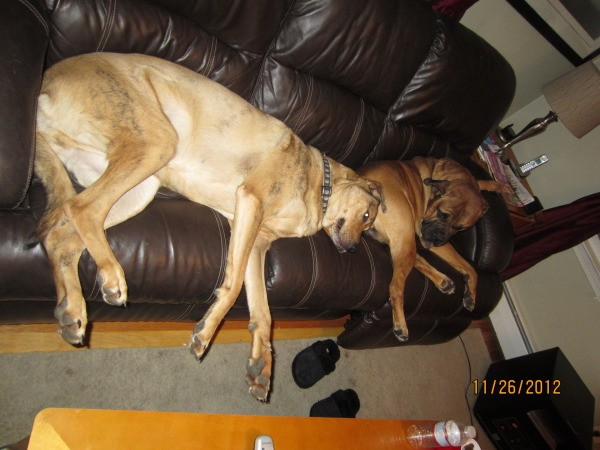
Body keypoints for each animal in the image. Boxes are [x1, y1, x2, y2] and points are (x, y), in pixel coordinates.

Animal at [34, 52, 384, 400]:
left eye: (369, 226)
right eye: (368, 216)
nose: (354, 250)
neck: (318, 183)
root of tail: (46, 85)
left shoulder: (257, 242)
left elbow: (264, 313)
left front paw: (262, 365)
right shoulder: (251, 202)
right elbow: (233, 288)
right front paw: (206, 332)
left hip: (137, 189)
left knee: (62, 236)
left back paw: (72, 311)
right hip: (155, 142)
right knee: (80, 208)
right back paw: (110, 275)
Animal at [358, 157, 504, 342]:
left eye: (459, 228)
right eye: (442, 214)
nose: (437, 239)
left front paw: (497, 186)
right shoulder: (425, 233)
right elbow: (471, 268)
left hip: (403, 241)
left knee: (414, 260)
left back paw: (443, 281)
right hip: (407, 238)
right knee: (396, 287)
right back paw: (401, 325)